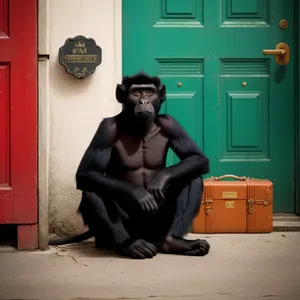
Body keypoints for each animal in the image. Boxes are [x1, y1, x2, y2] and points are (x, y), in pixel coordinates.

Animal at [49, 72, 210, 258]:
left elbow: (197, 157)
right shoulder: (106, 129)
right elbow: (87, 172)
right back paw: (130, 245)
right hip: (128, 230)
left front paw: (161, 179)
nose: (144, 101)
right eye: (136, 93)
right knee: (93, 192)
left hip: (157, 229)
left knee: (193, 178)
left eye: (149, 92)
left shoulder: (171, 123)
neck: (139, 127)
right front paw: (139, 194)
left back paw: (174, 242)